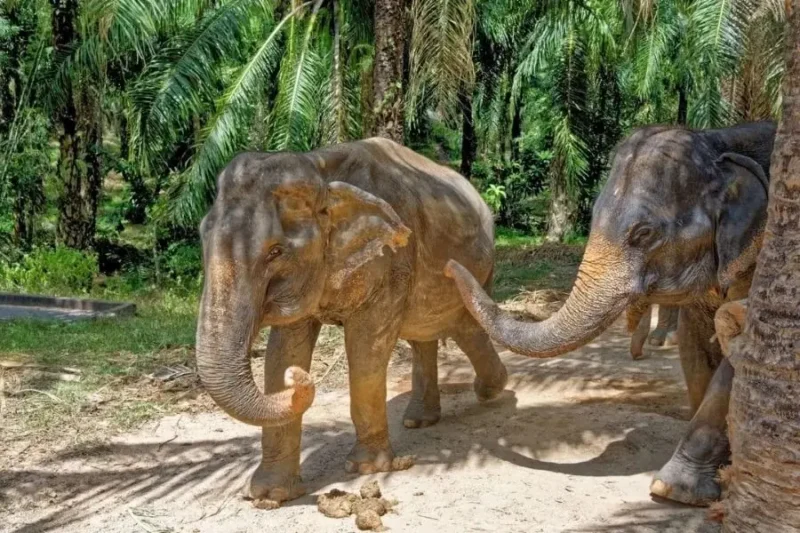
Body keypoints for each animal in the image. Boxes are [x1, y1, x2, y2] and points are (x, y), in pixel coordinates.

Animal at [195, 137, 508, 503]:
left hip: (481, 265)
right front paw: (269, 494)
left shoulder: (392, 258)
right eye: (202, 238)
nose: (298, 380)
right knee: (427, 333)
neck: (320, 168)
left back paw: (487, 391)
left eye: (275, 252)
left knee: (466, 321)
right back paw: (420, 420)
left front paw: (367, 468)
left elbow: (365, 348)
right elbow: (282, 352)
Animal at [444, 121, 776, 506]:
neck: (720, 141)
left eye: (644, 233)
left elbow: (737, 359)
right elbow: (693, 348)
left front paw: (673, 490)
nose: (449, 266)